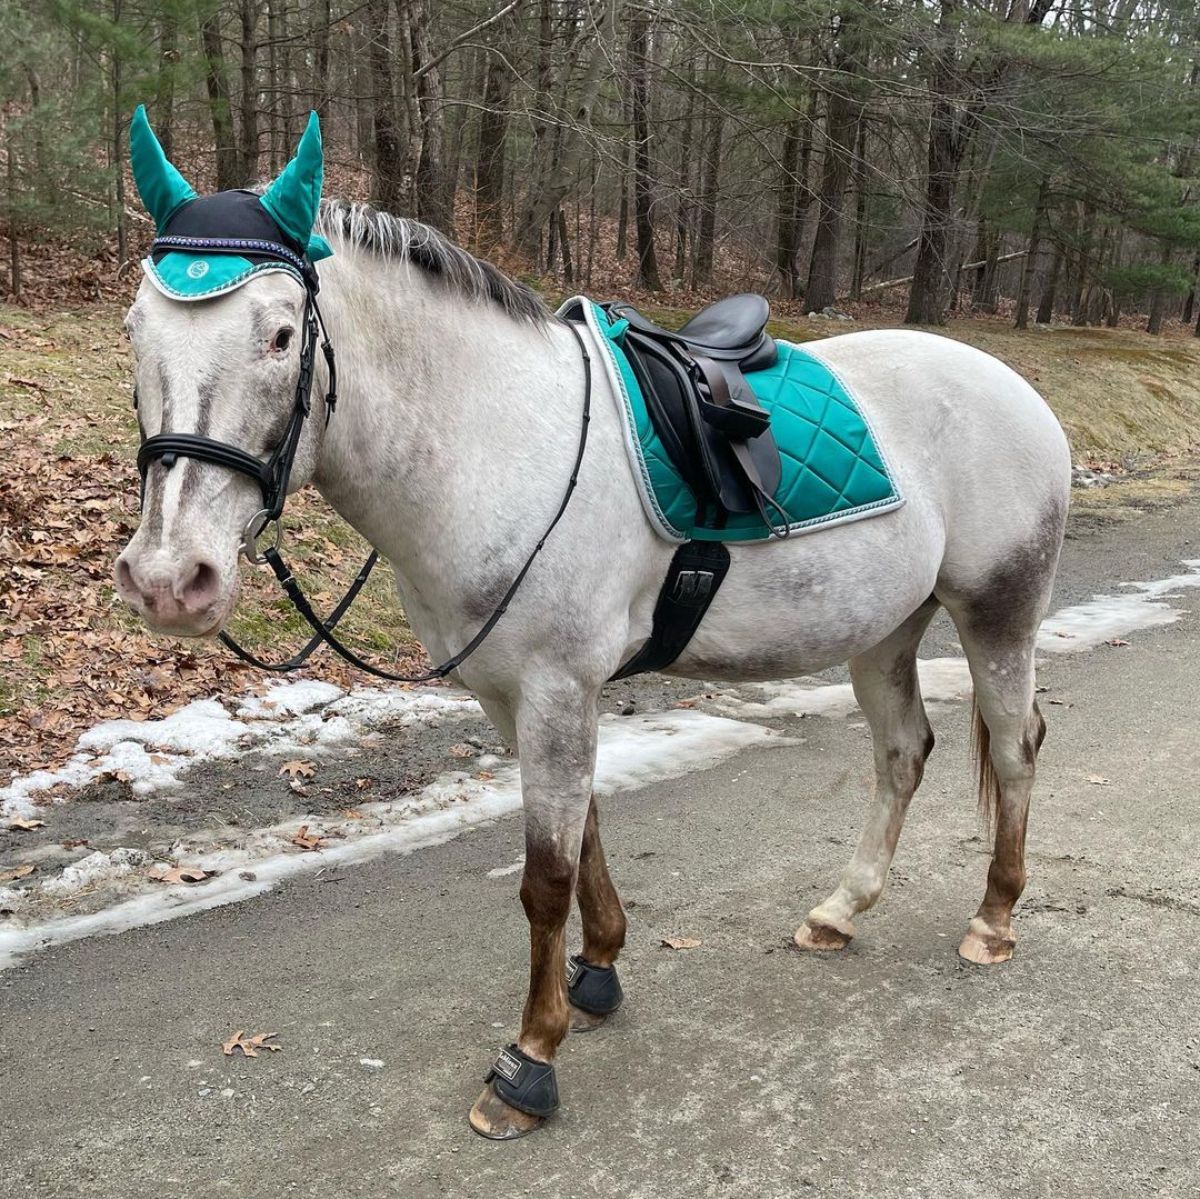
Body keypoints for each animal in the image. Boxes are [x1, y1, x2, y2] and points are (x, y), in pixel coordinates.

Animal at [114, 112, 1070, 1142]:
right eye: (135, 329)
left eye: (282, 334)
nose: (169, 579)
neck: (496, 445)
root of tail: (1018, 389)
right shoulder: (515, 696)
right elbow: (586, 833)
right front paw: (599, 969)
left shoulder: (556, 688)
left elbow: (544, 876)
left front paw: (530, 1061)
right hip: (886, 627)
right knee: (902, 754)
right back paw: (841, 908)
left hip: (997, 612)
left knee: (1014, 746)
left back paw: (994, 918)